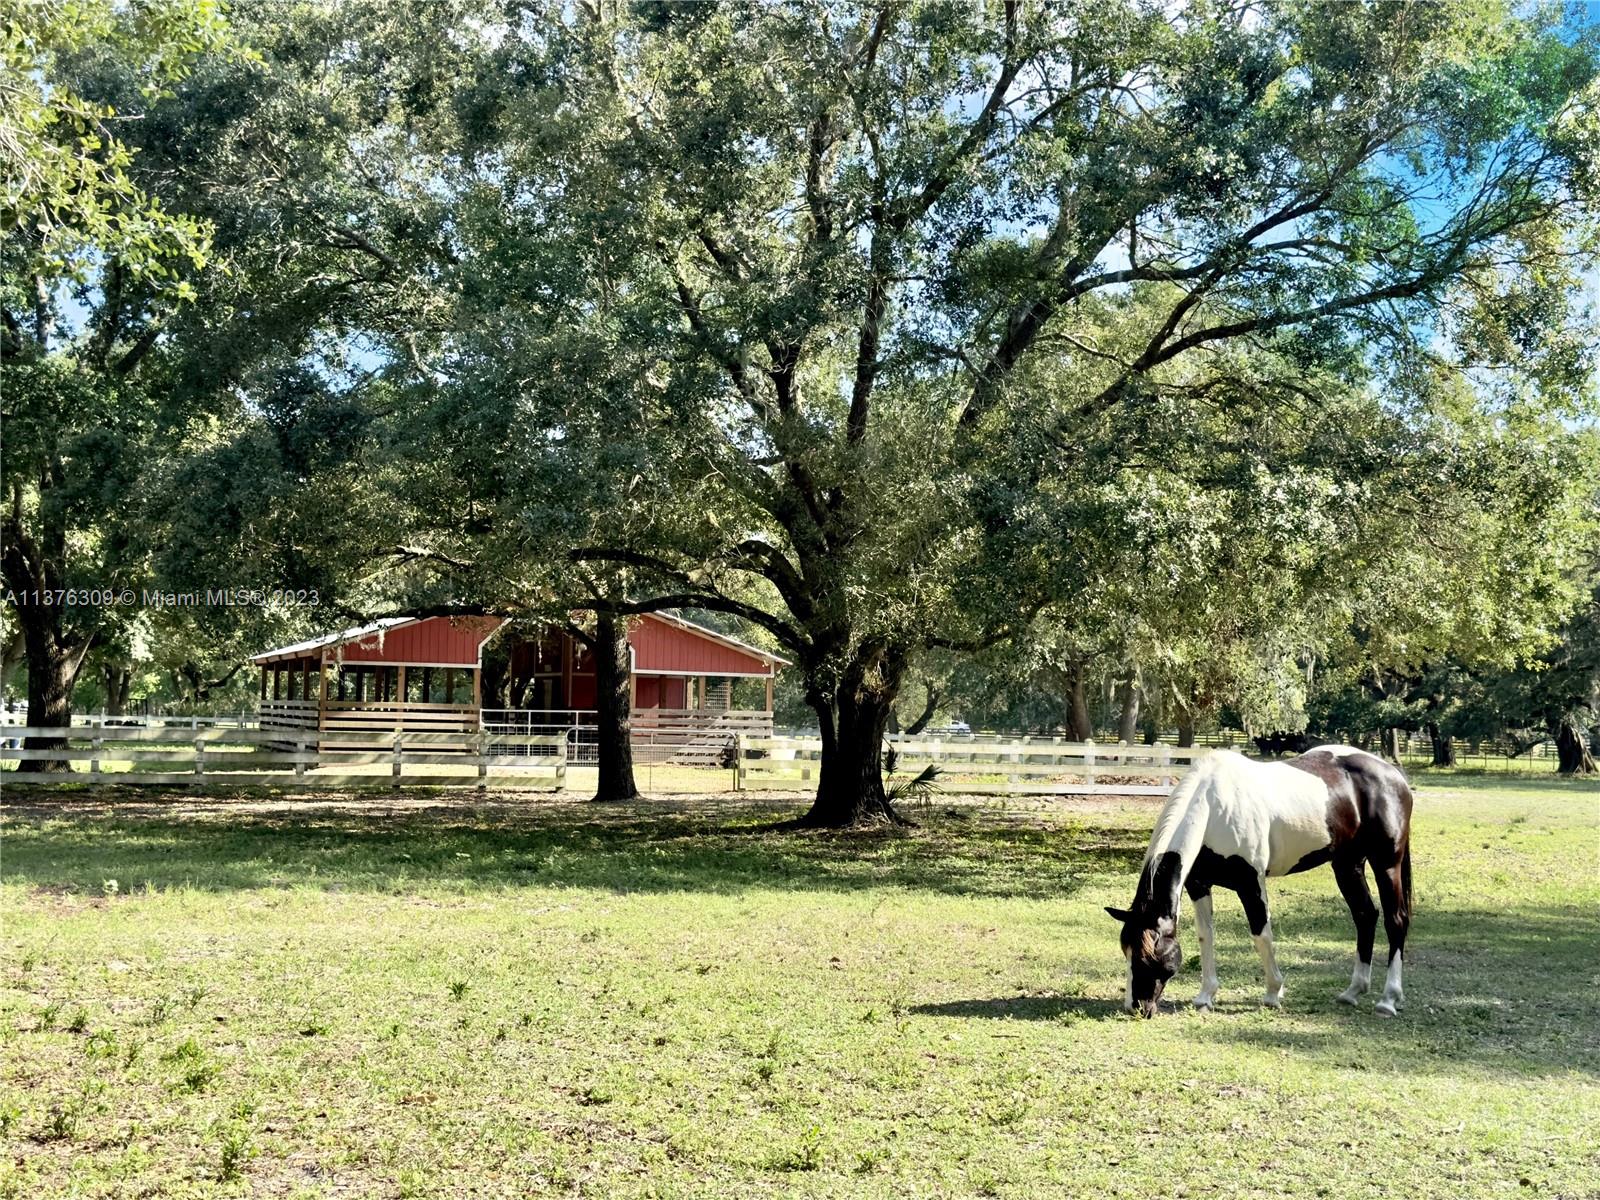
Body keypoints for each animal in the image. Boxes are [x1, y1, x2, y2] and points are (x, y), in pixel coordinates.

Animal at [1113, 748, 1414, 1017]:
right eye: (1125, 951)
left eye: (1147, 956)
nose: (1135, 1007)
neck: (1212, 808)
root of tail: (1393, 775)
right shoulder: (1199, 885)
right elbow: (1205, 935)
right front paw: (1205, 996)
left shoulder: (1251, 883)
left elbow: (1262, 935)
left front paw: (1273, 993)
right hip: (1347, 865)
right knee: (1365, 915)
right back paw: (1352, 992)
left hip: (1386, 863)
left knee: (1395, 920)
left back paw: (1388, 1000)